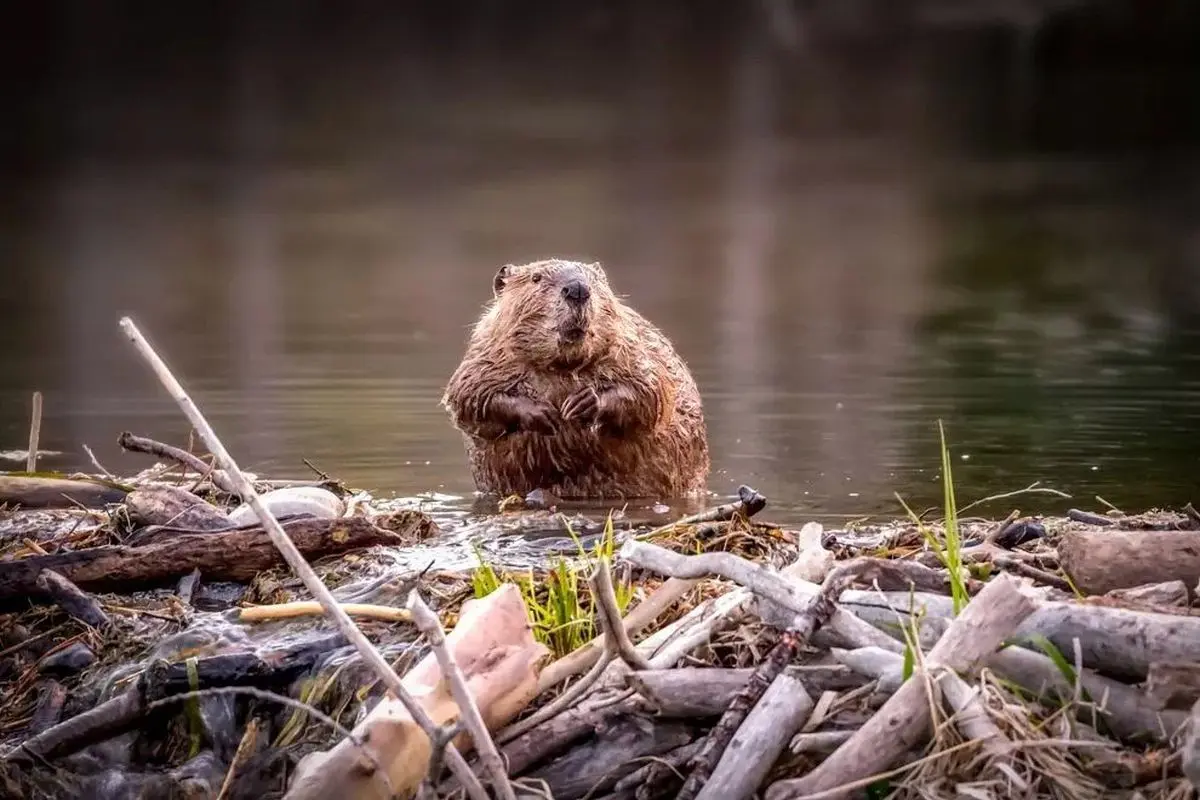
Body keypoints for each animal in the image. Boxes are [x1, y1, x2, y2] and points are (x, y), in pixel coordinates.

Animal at [441, 257, 705, 501]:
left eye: (595, 279)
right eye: (536, 278)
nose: (577, 289)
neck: (562, 366)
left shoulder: (633, 347)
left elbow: (651, 391)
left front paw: (582, 403)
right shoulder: (485, 356)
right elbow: (469, 397)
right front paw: (543, 413)